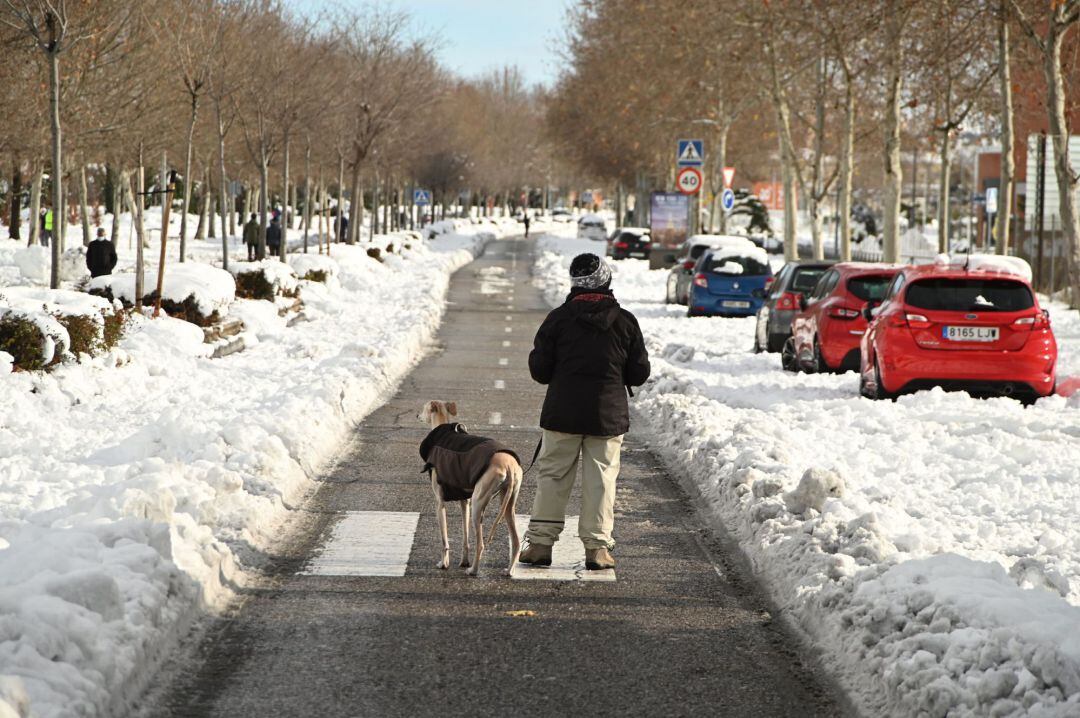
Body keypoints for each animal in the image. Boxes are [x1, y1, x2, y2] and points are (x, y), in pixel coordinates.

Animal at [416, 399, 522, 574]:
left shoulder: (439, 502)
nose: (417, 415)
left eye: (424, 408)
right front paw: (463, 561)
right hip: (507, 505)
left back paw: (473, 570)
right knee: (516, 541)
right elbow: (465, 537)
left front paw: (444, 563)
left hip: (478, 504)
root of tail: (509, 465)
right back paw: (509, 571)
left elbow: (444, 540)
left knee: (481, 544)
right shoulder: (465, 501)